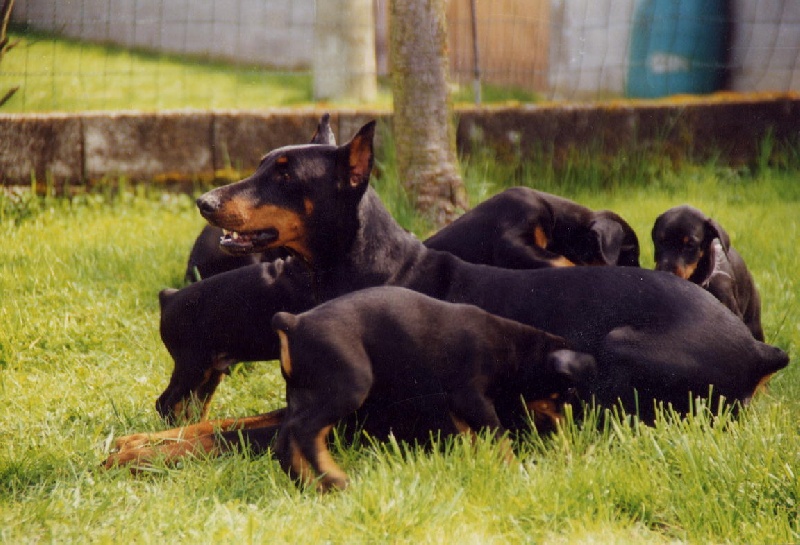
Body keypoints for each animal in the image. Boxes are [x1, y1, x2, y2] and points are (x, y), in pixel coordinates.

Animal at [272, 286, 596, 490]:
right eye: (567, 392)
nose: (570, 429)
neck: (516, 349)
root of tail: (293, 322)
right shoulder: (472, 398)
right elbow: (498, 436)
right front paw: (516, 470)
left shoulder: (457, 406)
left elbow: (473, 440)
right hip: (347, 387)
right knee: (305, 431)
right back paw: (335, 478)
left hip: (303, 394)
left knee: (286, 440)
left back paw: (311, 486)